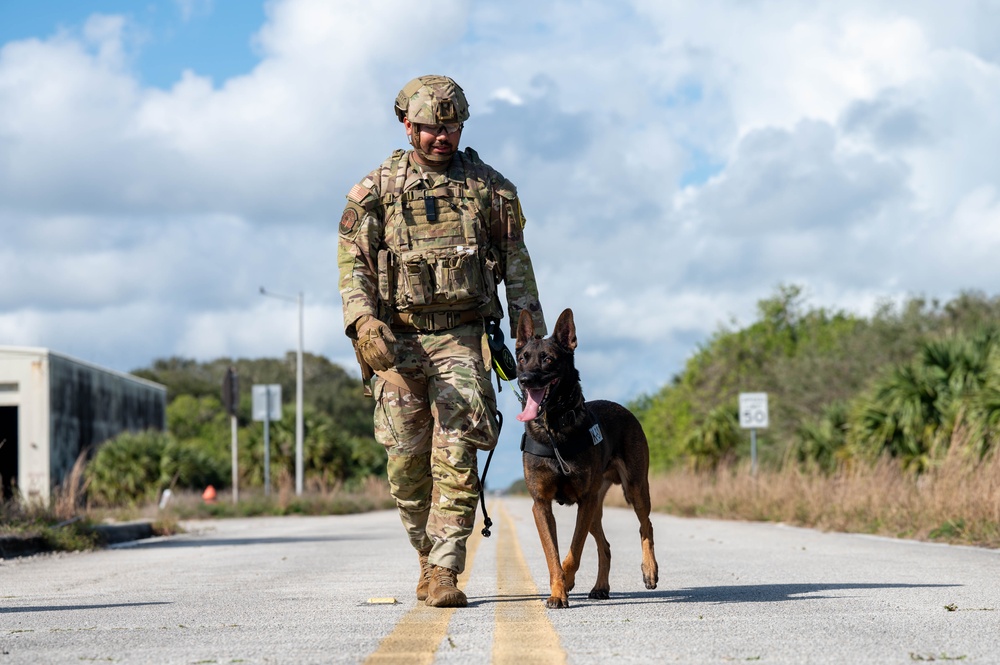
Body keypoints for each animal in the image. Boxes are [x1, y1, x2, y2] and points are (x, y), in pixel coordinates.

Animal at [516, 308, 656, 608]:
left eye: (547, 359)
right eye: (523, 358)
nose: (525, 380)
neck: (554, 430)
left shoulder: (584, 501)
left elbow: (573, 552)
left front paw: (565, 583)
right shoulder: (541, 505)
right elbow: (554, 556)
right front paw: (558, 590)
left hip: (633, 489)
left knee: (646, 525)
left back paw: (650, 570)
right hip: (594, 509)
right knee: (606, 546)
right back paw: (601, 587)